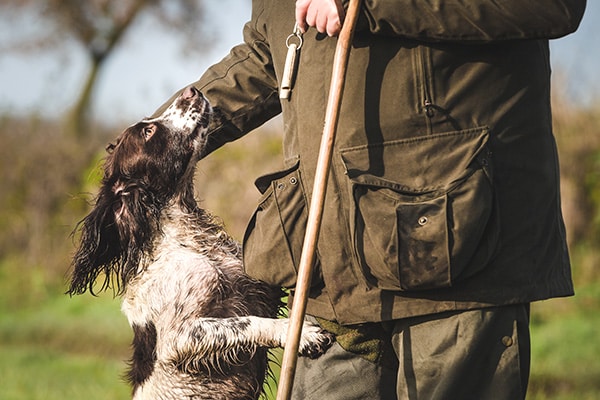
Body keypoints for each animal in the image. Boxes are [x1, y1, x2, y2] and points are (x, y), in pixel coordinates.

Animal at [69, 87, 338, 400]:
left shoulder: (261, 290)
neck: (188, 240)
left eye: (149, 123)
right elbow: (244, 323)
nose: (191, 91)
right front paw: (302, 334)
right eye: (148, 131)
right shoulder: (180, 337)